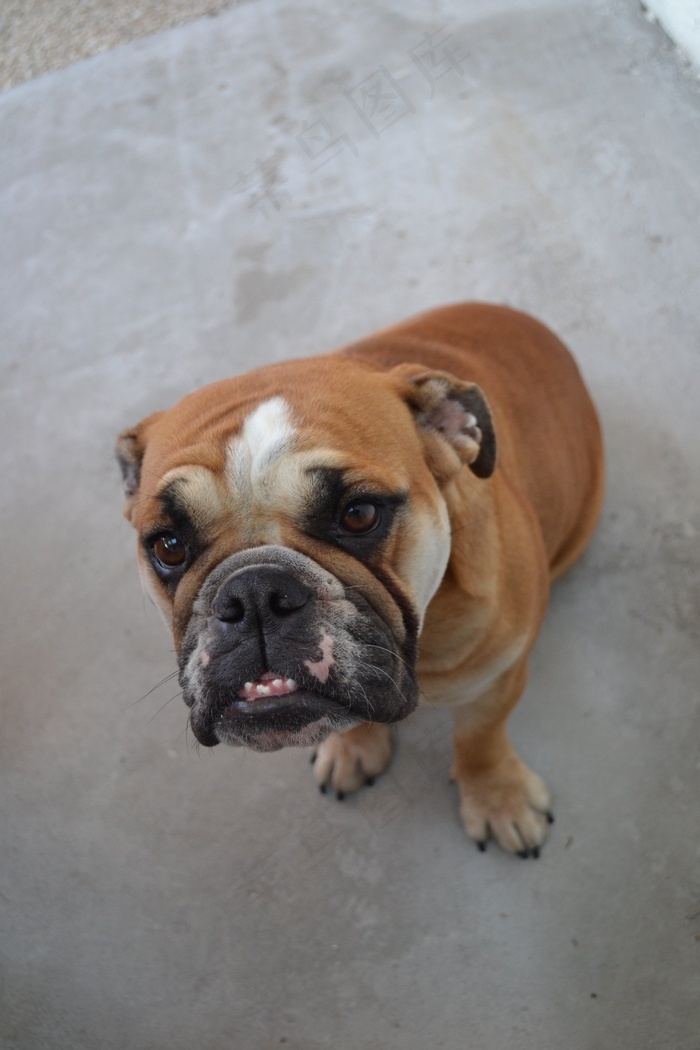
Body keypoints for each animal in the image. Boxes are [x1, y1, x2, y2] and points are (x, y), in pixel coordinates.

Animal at [117, 302, 604, 852]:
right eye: (168, 546)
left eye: (359, 514)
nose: (254, 591)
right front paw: (351, 749)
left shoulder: (495, 680)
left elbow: (480, 738)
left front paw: (500, 798)